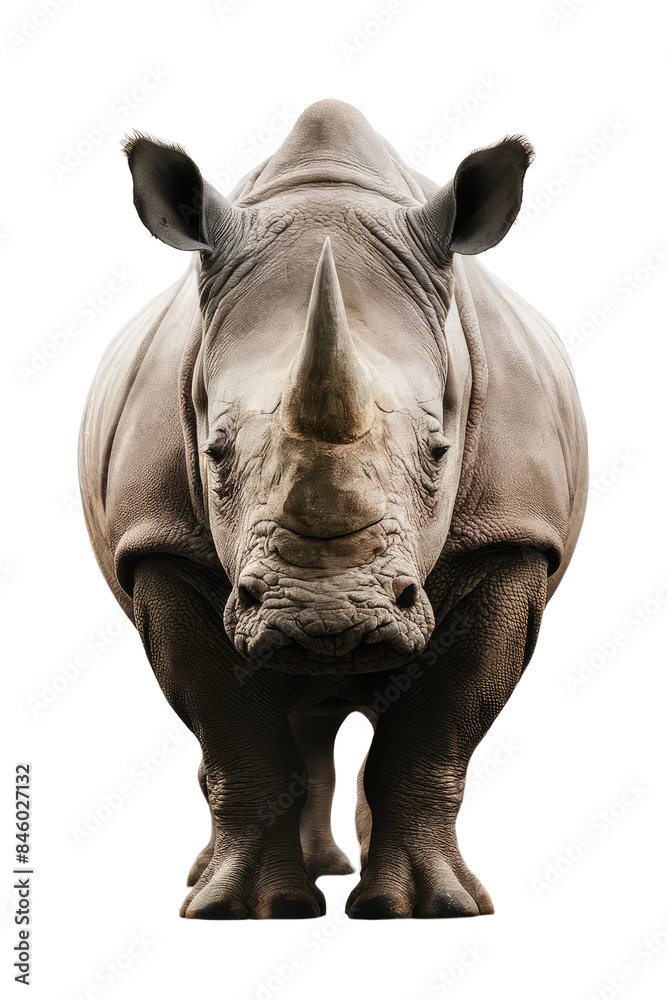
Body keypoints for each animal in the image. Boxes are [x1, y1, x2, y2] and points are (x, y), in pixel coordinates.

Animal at [79, 99, 587, 920]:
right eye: (213, 453)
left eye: (439, 451)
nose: (328, 619)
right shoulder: (160, 544)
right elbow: (234, 731)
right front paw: (242, 911)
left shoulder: (511, 539)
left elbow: (437, 729)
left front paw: (430, 910)